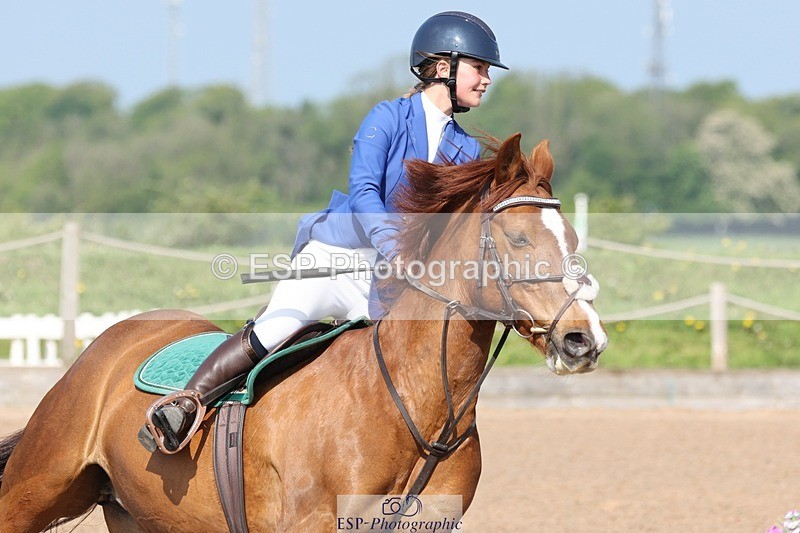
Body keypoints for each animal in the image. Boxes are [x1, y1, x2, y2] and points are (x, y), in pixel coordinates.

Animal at [0, 133, 607, 532]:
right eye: (520, 240)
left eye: (573, 237)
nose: (585, 339)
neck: (416, 403)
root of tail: (108, 342)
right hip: (38, 485)